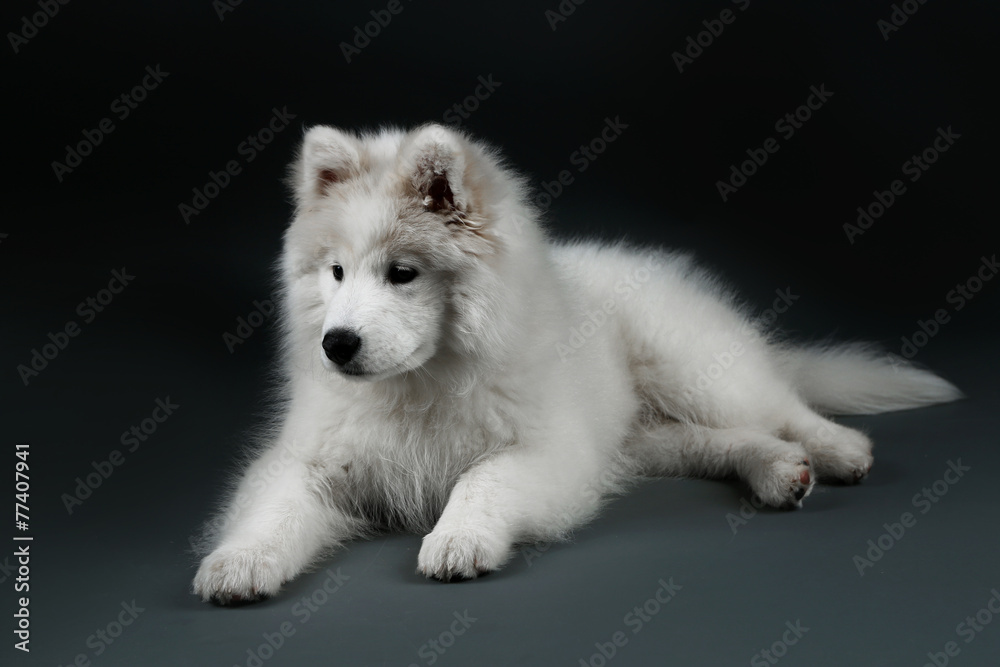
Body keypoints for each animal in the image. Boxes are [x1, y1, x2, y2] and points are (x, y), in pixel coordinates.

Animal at [193, 123, 961, 604]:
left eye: (402, 274)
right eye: (336, 272)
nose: (337, 344)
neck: (421, 386)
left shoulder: (546, 451)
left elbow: (480, 480)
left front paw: (457, 539)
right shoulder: (314, 458)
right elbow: (274, 505)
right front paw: (240, 561)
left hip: (691, 367)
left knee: (780, 405)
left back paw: (838, 450)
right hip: (639, 435)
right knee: (721, 440)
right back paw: (778, 470)